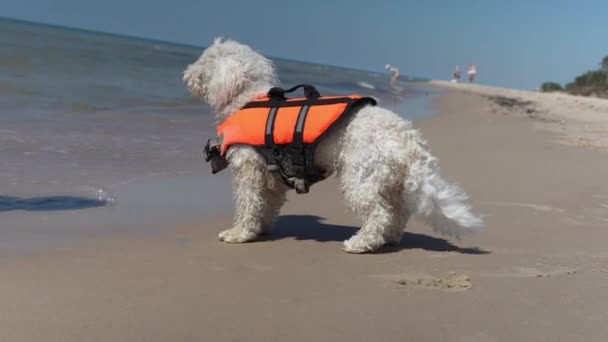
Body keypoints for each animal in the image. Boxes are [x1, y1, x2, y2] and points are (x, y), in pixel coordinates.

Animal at [183, 38, 482, 254]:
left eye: (204, 63)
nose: (186, 74)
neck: (250, 98)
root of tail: (410, 142)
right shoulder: (272, 176)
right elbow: (267, 204)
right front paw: (261, 228)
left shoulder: (249, 171)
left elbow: (248, 203)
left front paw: (239, 233)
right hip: (389, 182)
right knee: (397, 213)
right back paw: (388, 239)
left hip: (360, 179)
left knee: (379, 214)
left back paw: (361, 243)